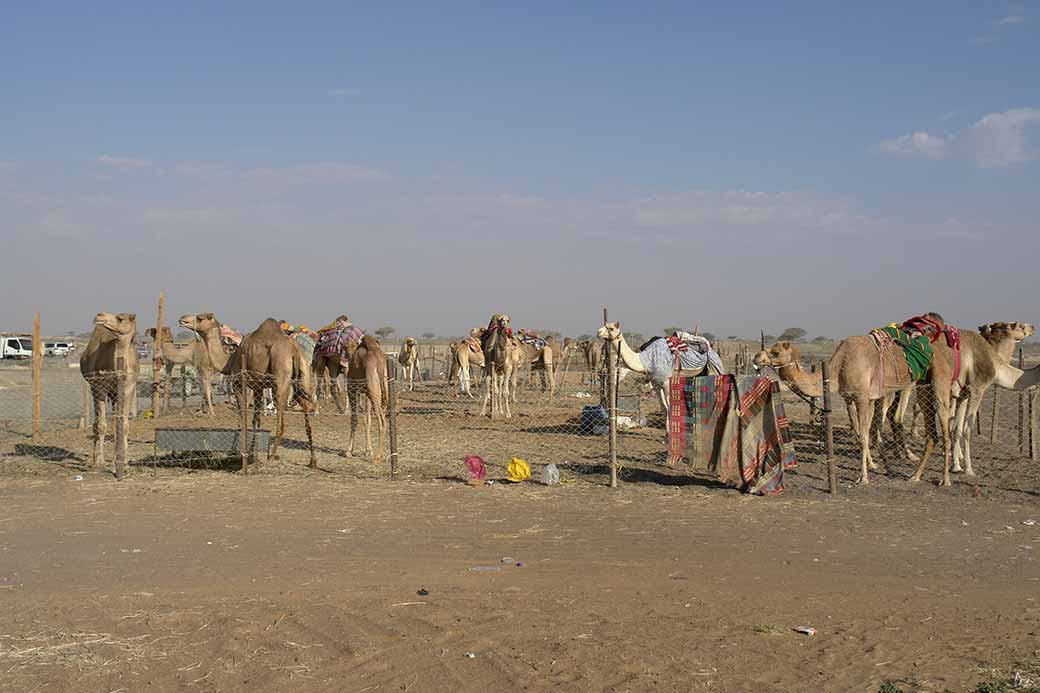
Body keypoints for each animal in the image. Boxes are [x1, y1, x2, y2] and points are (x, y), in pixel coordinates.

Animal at [79, 310, 139, 466]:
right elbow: (101, 425)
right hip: (96, 387)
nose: (100, 315)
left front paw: (123, 460)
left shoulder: (129, 387)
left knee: (115, 420)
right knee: (97, 423)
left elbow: (123, 424)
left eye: (120, 318)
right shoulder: (99, 386)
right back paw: (95, 458)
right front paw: (99, 462)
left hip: (115, 394)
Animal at [179, 312, 316, 470]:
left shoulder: (239, 383)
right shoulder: (258, 386)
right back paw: (312, 461)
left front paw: (237, 452)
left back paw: (270, 458)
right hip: (303, 377)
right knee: (307, 419)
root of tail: (295, 351)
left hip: (280, 378)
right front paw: (252, 451)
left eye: (200, 318)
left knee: (281, 423)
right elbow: (256, 419)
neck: (229, 360)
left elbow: (242, 416)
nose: (182, 319)